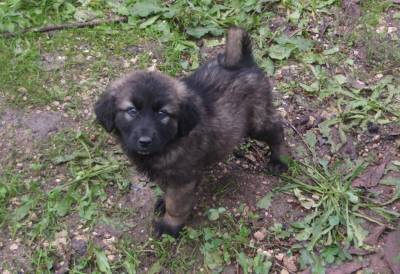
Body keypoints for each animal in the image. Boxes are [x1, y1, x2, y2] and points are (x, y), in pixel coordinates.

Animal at [94, 26, 288, 238]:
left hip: (257, 122)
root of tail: (242, 62)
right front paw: (163, 202)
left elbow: (176, 205)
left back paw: (279, 160)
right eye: (131, 111)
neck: (170, 142)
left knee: (277, 128)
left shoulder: (182, 180)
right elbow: (167, 192)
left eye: (162, 113)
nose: (144, 141)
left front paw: (169, 226)